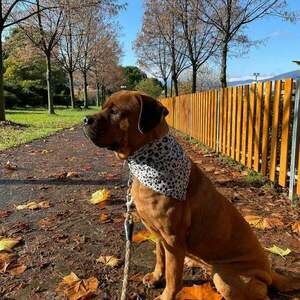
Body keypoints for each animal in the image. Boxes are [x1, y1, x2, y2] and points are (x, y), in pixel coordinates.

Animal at [84, 91, 300, 300]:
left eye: (115, 111)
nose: (85, 119)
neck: (147, 162)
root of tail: (269, 271)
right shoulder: (158, 235)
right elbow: (160, 258)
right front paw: (156, 277)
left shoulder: (172, 239)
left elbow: (173, 276)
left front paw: (165, 295)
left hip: (227, 279)